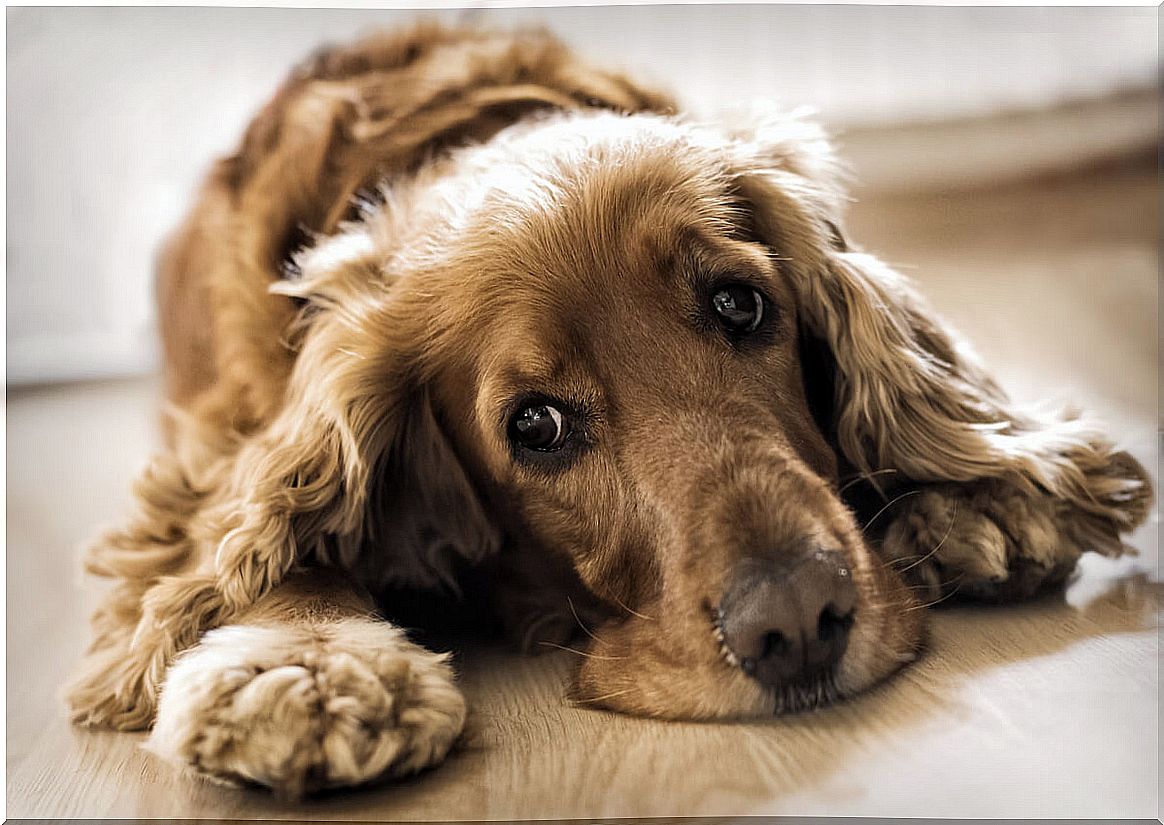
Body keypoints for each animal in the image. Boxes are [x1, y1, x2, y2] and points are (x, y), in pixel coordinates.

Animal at [66, 22, 1154, 795]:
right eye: (535, 426)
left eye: (740, 304)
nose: (797, 621)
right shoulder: (209, 451)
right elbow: (256, 540)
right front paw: (307, 662)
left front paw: (979, 500)